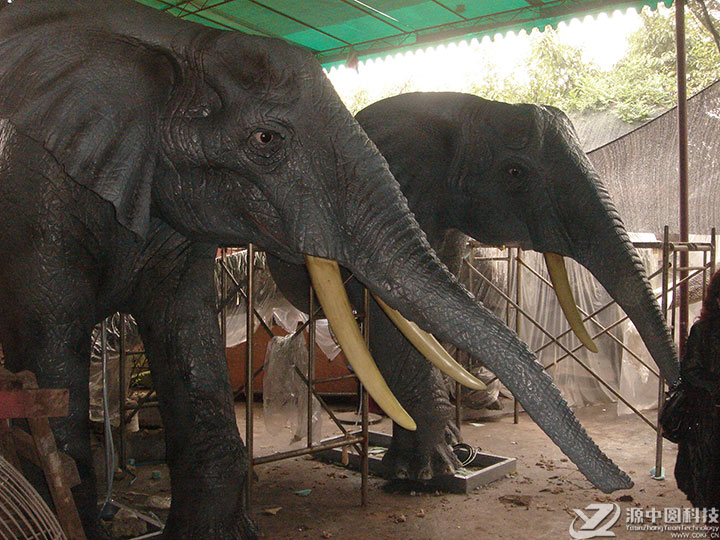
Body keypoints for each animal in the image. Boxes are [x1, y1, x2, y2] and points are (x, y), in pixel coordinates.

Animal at [268, 92, 679, 483]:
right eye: (515, 173)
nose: (676, 398)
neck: (459, 107)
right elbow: (400, 318)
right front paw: (427, 472)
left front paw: (448, 448)